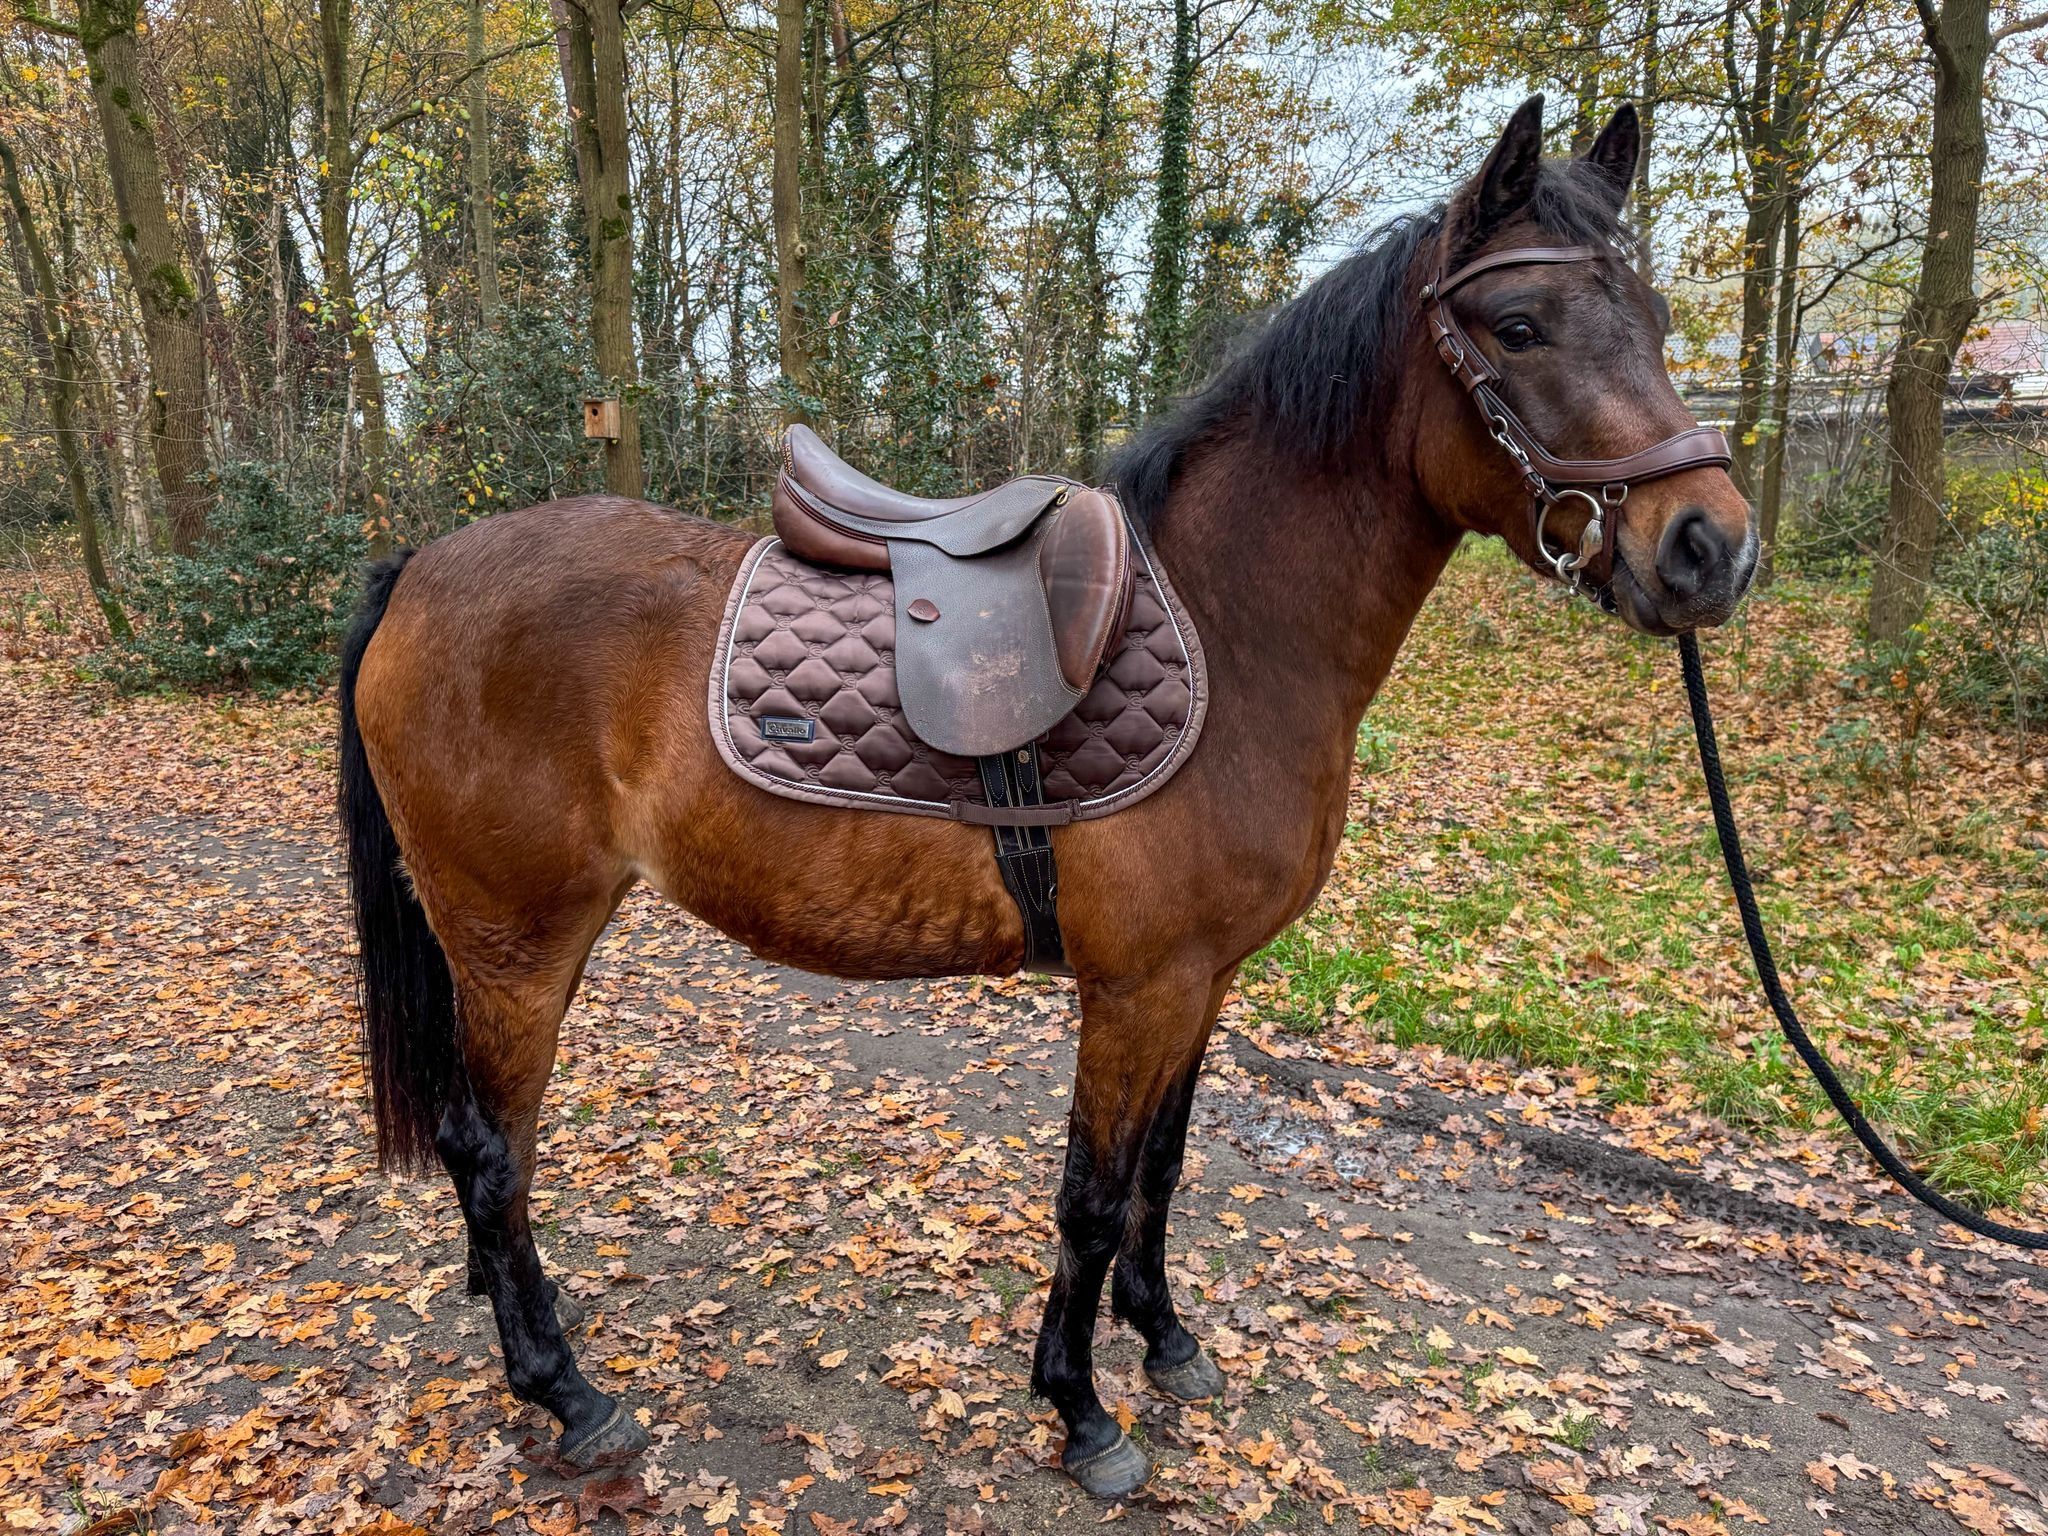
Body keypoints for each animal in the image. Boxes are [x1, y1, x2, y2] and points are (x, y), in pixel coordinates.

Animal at [338, 94, 1756, 1499]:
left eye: (1656, 318)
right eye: (1518, 326)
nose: (1711, 548)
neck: (1232, 630)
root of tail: (420, 572)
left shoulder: (1203, 979)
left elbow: (1162, 1171)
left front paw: (1165, 1341)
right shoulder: (1134, 987)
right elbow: (1090, 1192)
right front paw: (1080, 1412)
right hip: (515, 942)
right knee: (490, 1155)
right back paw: (568, 1395)